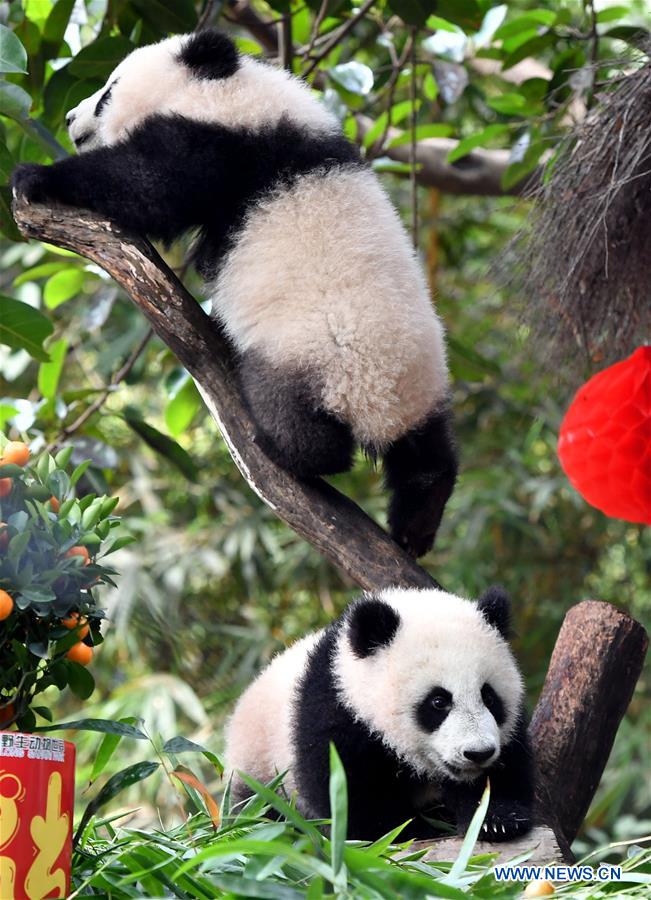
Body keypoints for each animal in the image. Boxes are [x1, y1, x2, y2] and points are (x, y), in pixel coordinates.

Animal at [11, 29, 458, 558]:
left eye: (107, 92)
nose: (69, 119)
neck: (231, 88)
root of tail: (376, 401)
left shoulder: (221, 142)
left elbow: (149, 185)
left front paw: (35, 176)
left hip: (305, 360)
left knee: (306, 430)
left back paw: (280, 449)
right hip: (422, 381)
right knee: (426, 457)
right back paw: (416, 526)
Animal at [225, 585, 534, 841]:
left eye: (489, 697)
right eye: (438, 702)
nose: (478, 753)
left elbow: (504, 772)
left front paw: (497, 819)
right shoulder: (334, 714)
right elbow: (350, 796)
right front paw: (408, 830)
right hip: (262, 770)